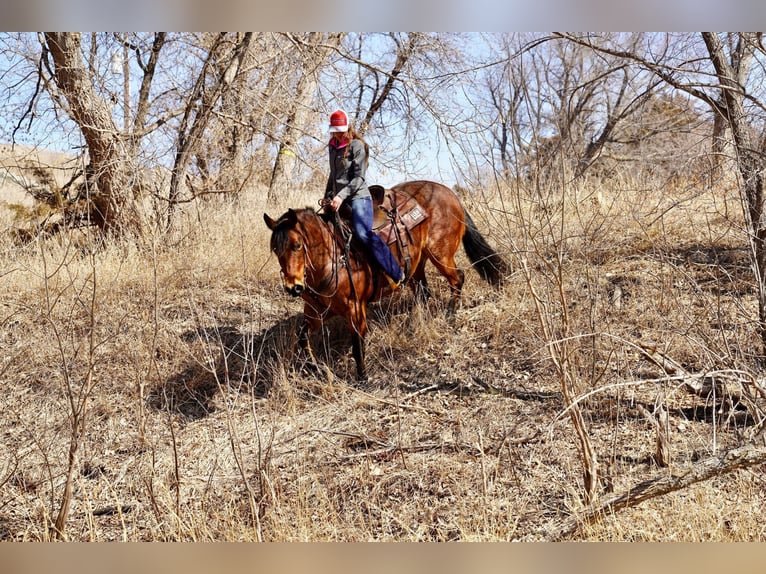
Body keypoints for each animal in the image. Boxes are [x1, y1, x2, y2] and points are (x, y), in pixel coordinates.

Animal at [264, 182, 510, 384]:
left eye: (297, 245)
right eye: (275, 249)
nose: (293, 287)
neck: (332, 257)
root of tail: (450, 193)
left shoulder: (356, 309)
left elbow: (357, 345)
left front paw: (362, 378)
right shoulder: (315, 311)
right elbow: (302, 336)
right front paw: (313, 366)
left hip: (440, 254)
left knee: (457, 279)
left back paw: (451, 313)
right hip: (416, 265)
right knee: (424, 292)